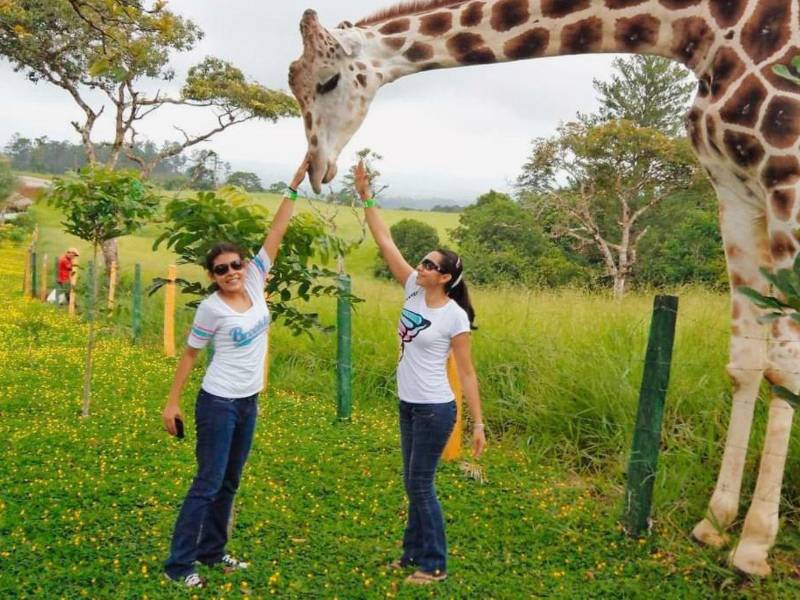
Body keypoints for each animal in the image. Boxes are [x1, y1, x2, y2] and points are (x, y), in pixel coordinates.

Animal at [288, 0, 800, 576]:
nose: (317, 168)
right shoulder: (734, 188)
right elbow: (746, 360)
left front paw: (753, 547)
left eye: (327, 81)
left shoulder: (787, 174)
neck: (705, 30)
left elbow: (786, 367)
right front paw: (714, 525)